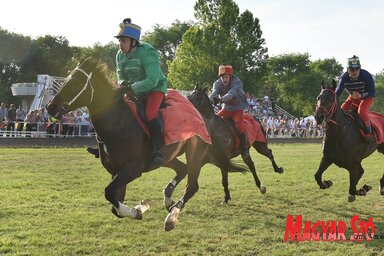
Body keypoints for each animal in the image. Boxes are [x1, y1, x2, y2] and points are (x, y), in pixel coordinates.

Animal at [45, 57, 237, 230]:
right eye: (65, 80)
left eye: (76, 83)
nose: (49, 107)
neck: (116, 125)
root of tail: (203, 117)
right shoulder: (116, 172)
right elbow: (115, 205)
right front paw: (140, 207)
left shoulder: (132, 170)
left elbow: (109, 193)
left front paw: (137, 211)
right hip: (168, 158)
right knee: (181, 170)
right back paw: (168, 200)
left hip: (195, 154)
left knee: (192, 186)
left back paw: (172, 216)